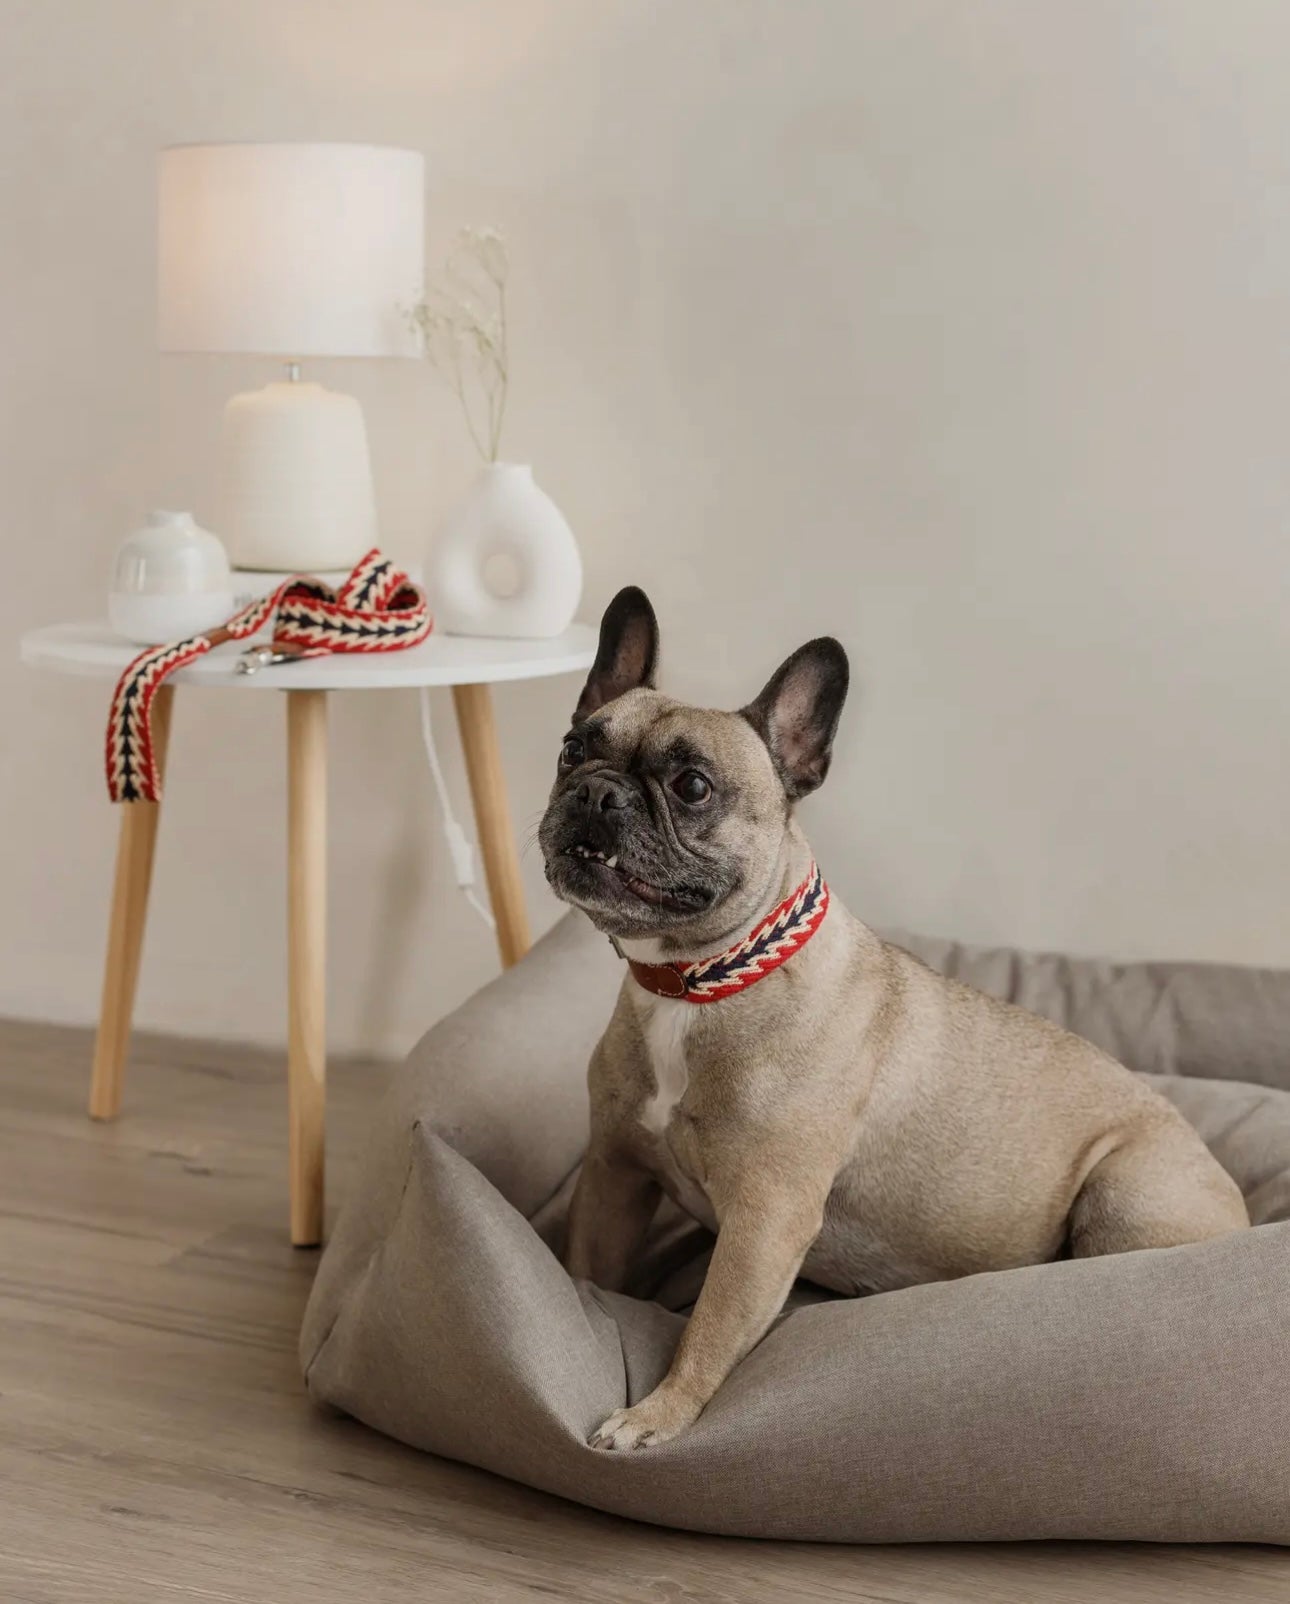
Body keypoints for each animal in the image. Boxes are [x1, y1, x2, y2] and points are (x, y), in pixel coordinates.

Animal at [540, 587, 1250, 1452]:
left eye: (693, 786)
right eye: (573, 748)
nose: (594, 791)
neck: (696, 983)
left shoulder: (764, 1222)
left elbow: (709, 1329)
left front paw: (656, 1416)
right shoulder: (615, 1172)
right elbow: (589, 1267)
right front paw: (582, 1317)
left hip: (1126, 1192)